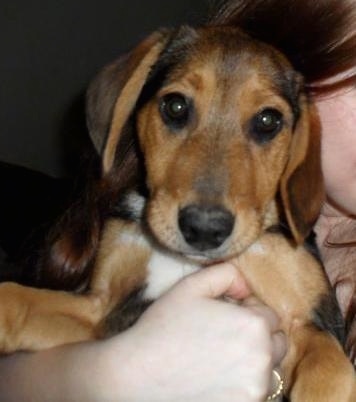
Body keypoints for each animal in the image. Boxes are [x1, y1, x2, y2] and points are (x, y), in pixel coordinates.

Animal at [0, 23, 354, 400]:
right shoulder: (102, 309)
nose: (204, 229)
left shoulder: (309, 321)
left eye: (268, 120)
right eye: (175, 105)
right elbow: (17, 299)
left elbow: (329, 369)